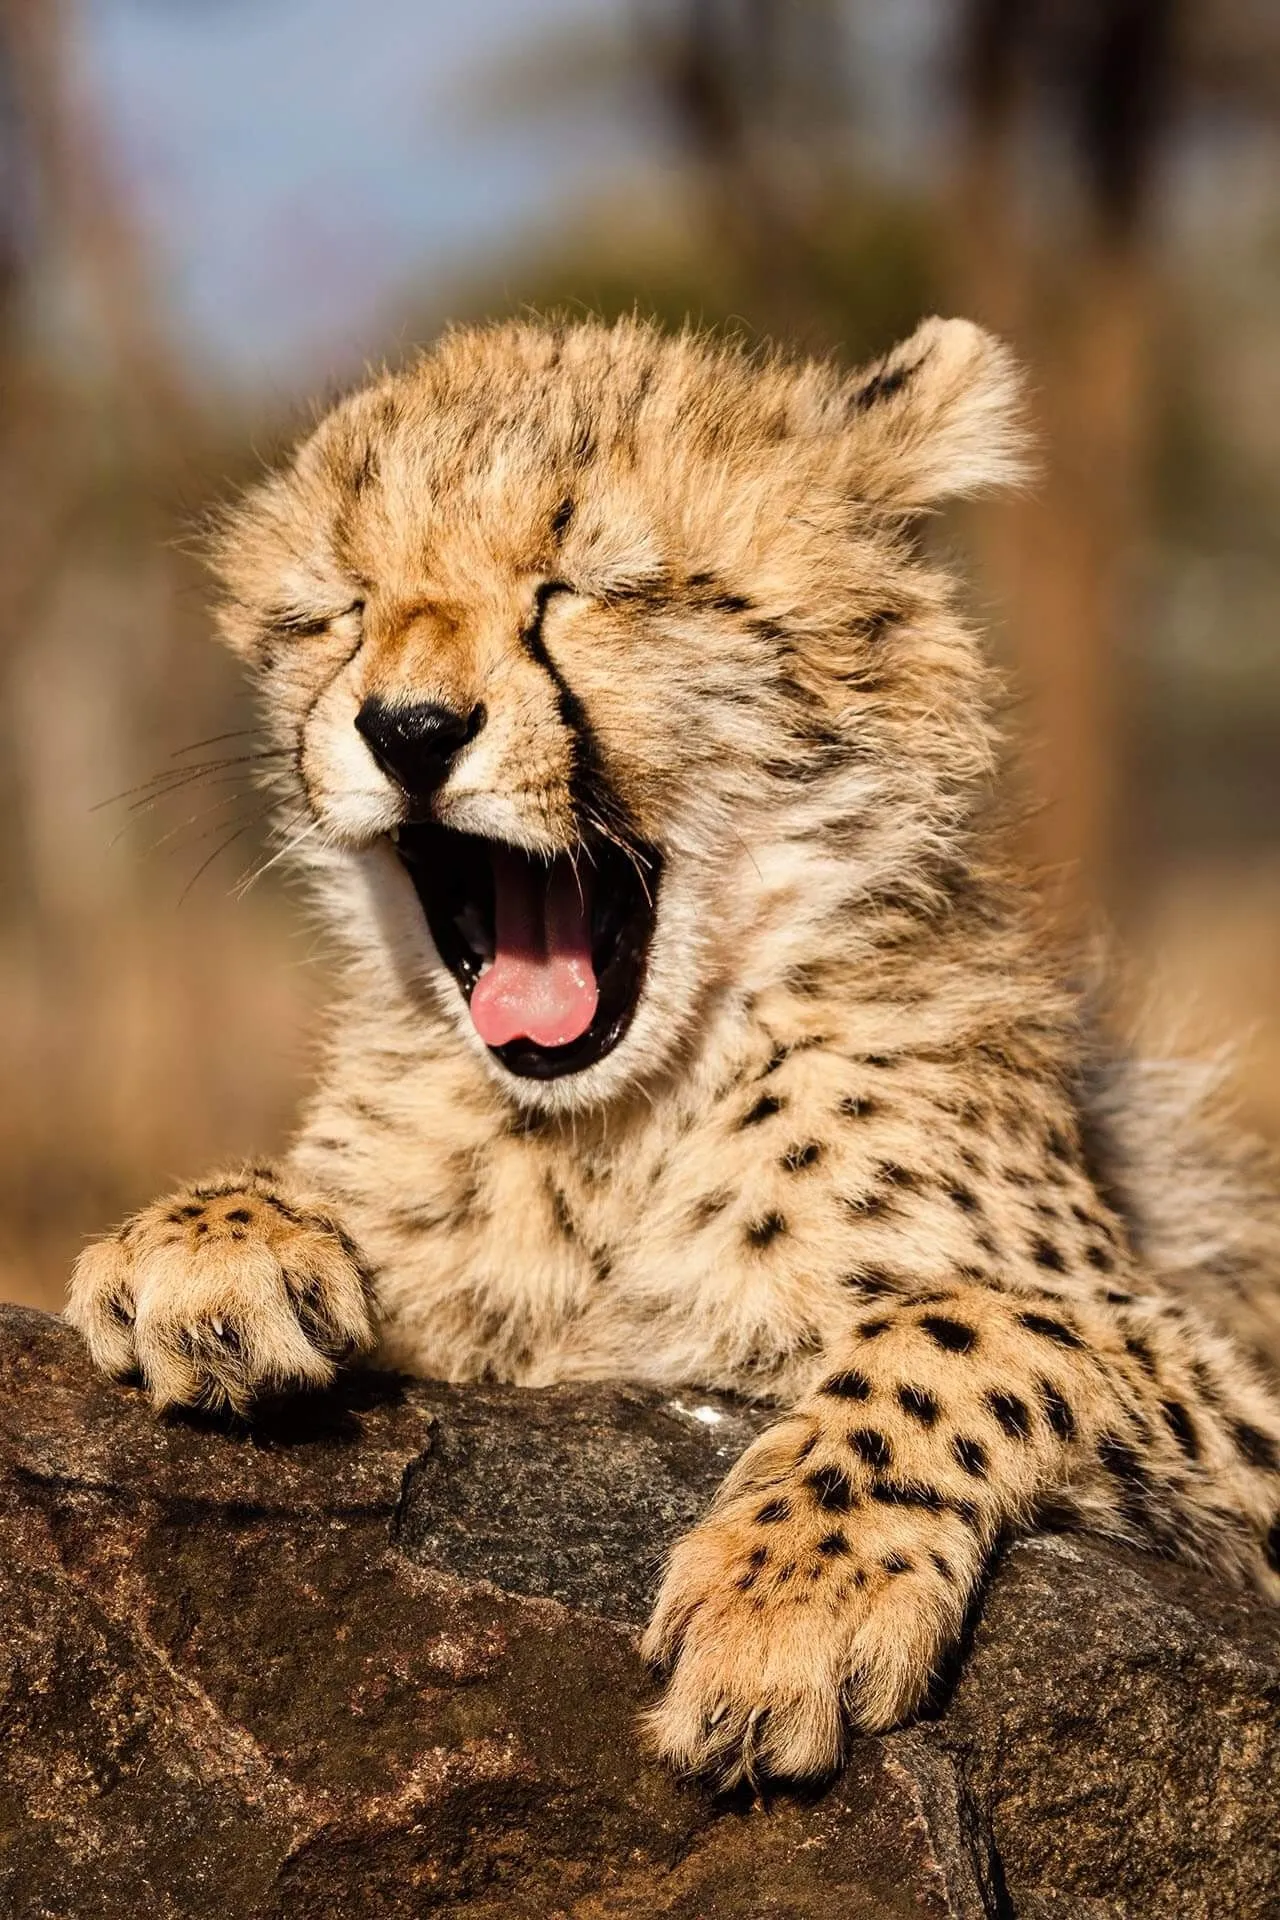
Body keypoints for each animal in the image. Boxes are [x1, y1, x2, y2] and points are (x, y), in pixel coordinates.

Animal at [67, 313, 1280, 1786]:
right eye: (340, 609)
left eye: (596, 589)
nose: (409, 729)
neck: (603, 1137)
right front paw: (211, 1244)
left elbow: (970, 1324)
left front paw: (794, 1592)